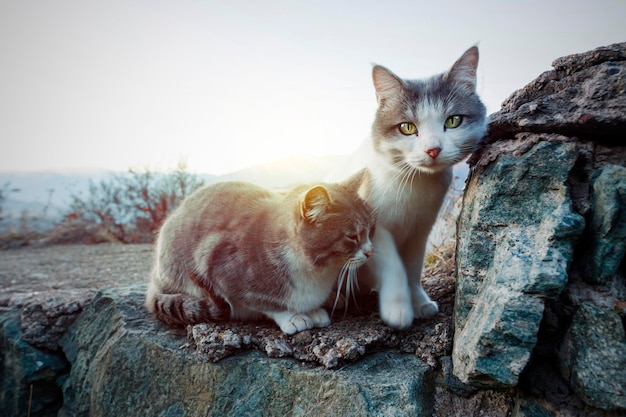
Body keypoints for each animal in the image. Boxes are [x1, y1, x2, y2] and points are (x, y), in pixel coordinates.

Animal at [144, 167, 372, 334]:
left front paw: (315, 309)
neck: (318, 274)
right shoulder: (218, 265)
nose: (370, 251)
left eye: (370, 230)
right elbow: (265, 303)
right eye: (353, 236)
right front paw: (294, 316)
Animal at [326, 45, 488, 328]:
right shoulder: (375, 230)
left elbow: (412, 269)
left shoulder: (420, 230)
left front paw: (420, 302)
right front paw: (398, 310)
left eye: (453, 121)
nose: (433, 149)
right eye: (407, 127)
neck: (414, 184)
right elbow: (394, 266)